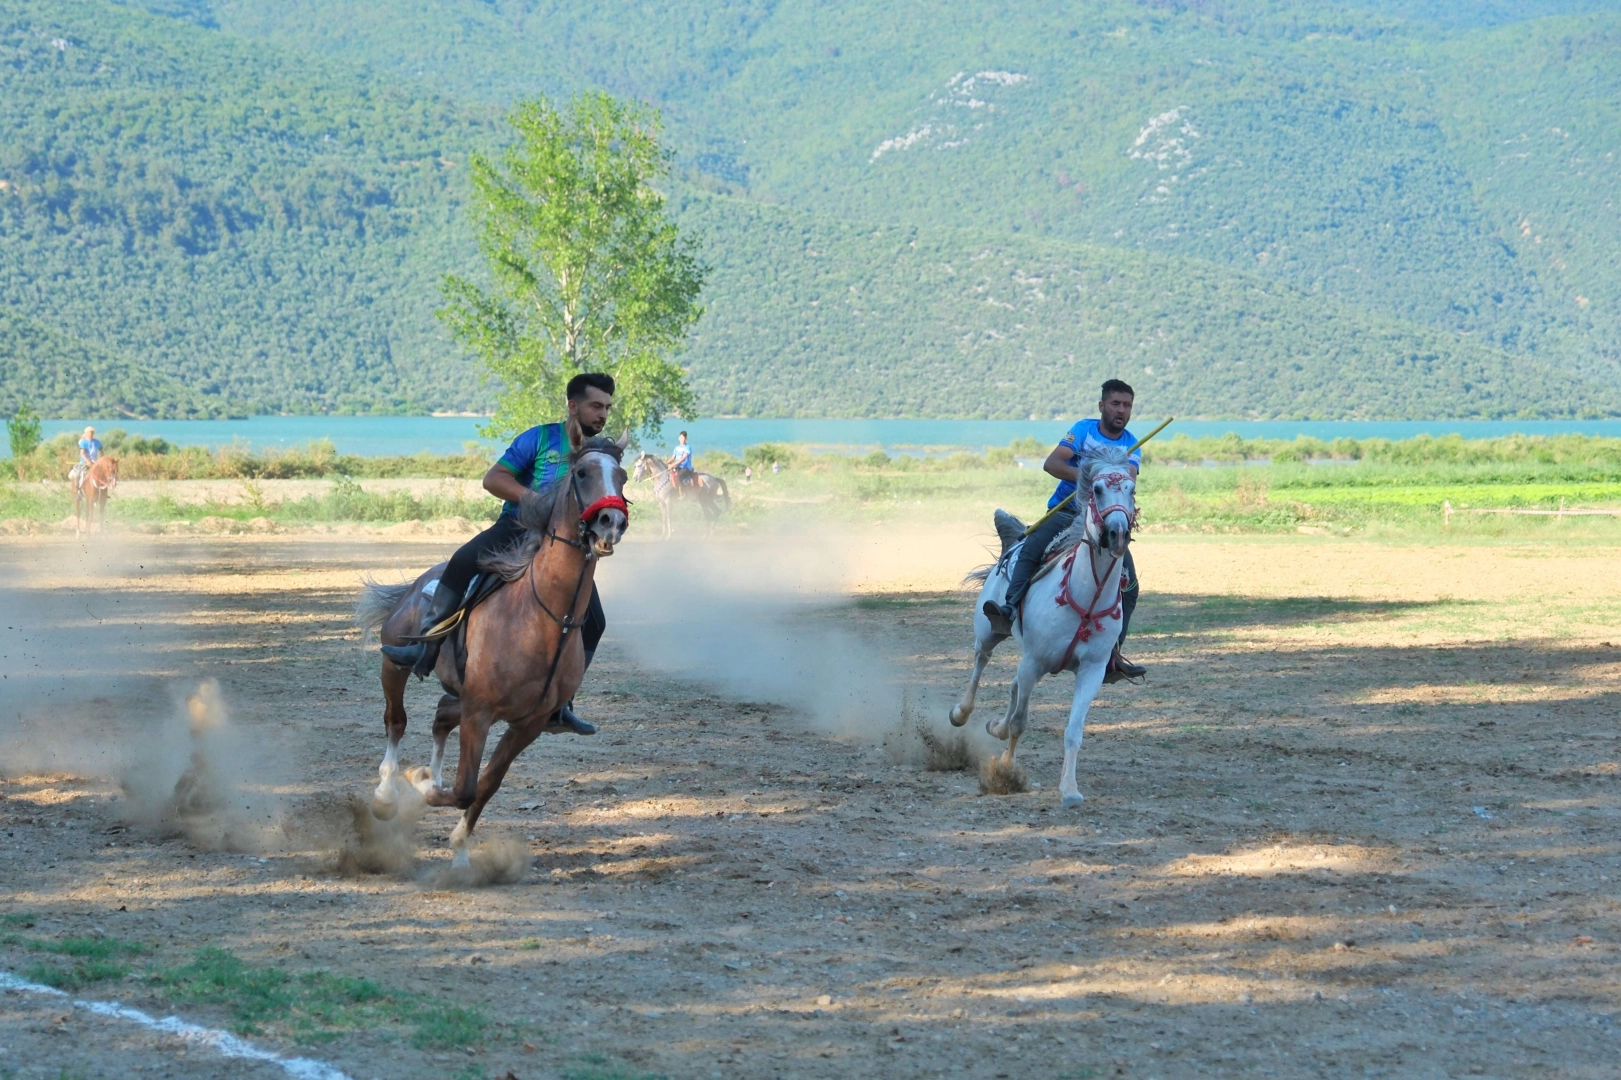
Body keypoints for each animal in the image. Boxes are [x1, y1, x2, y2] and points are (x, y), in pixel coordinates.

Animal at [358, 434, 628, 862]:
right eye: (583, 472)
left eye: (623, 476)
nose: (612, 522)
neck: (539, 617)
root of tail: (416, 587)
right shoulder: (480, 712)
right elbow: (464, 786)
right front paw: (420, 781)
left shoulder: (527, 724)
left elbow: (483, 786)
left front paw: (458, 844)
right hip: (395, 665)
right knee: (396, 720)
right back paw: (386, 795)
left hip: (462, 694)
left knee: (441, 715)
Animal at [946, 444, 1134, 807]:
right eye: (1098, 489)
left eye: (1131, 489)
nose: (1118, 534)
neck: (1085, 596)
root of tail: (1016, 541)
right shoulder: (1033, 660)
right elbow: (1020, 723)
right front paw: (1006, 773)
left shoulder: (1091, 670)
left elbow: (1073, 731)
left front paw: (1070, 790)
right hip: (990, 632)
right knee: (981, 661)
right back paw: (961, 713)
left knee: (1013, 686)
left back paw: (995, 726)